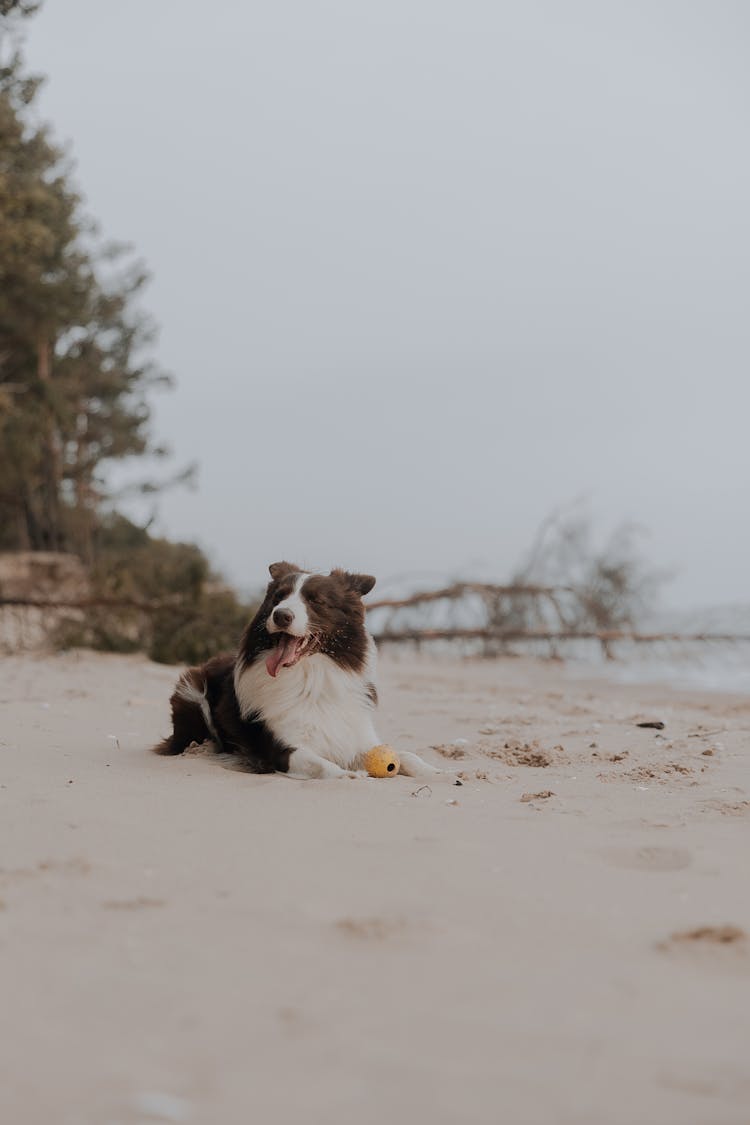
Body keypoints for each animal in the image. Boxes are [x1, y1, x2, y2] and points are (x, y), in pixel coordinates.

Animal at [155, 562, 443, 783]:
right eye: (278, 598)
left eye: (315, 600)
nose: (281, 615)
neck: (310, 678)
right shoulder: (281, 747)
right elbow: (317, 762)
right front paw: (347, 775)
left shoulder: (354, 735)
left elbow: (406, 755)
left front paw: (437, 771)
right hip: (192, 689)